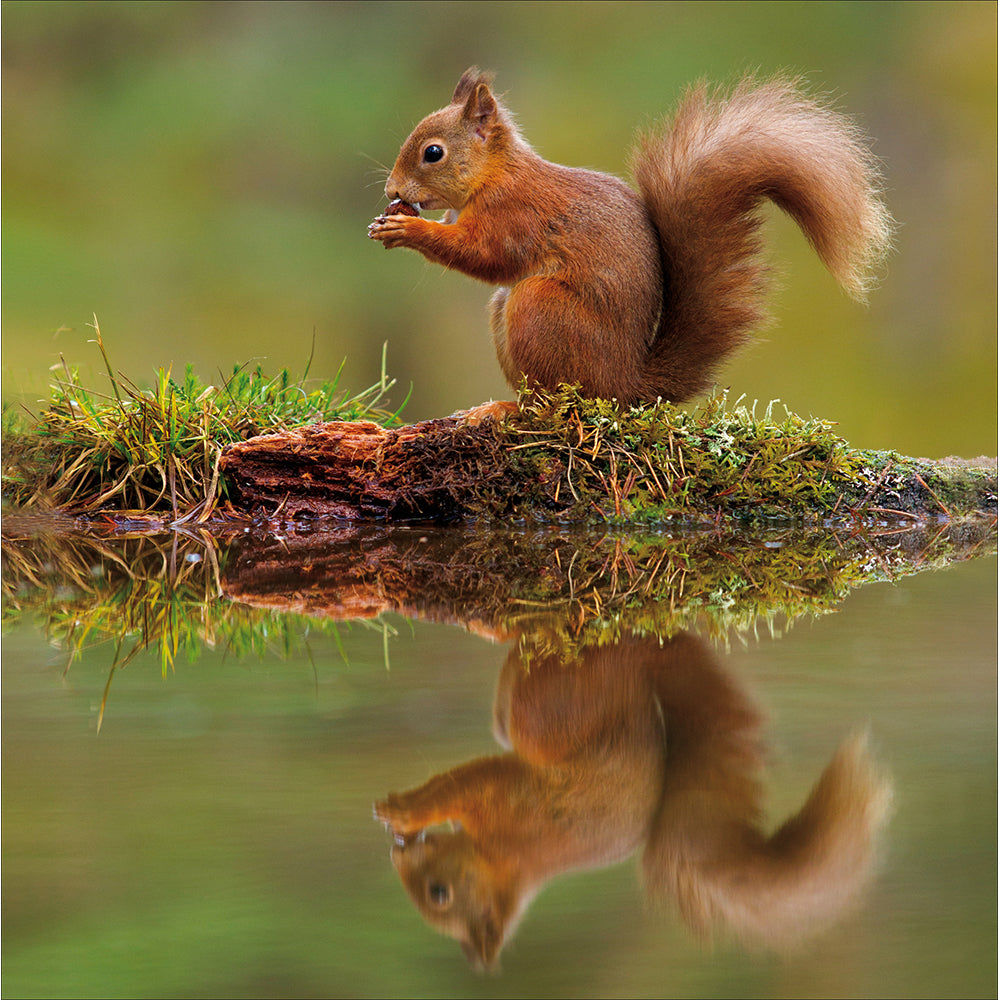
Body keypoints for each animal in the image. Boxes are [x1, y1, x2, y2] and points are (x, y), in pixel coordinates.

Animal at [368, 68, 893, 408]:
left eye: (433, 153)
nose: (393, 191)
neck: (494, 175)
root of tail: (623, 385)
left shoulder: (515, 215)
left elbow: (486, 256)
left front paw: (409, 229)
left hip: (539, 308)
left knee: (556, 407)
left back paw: (504, 412)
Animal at [374, 633, 891, 969]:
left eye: (439, 894)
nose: (398, 858)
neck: (509, 862)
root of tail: (639, 666)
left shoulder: (505, 799)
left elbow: (453, 785)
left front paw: (403, 812)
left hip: (548, 705)